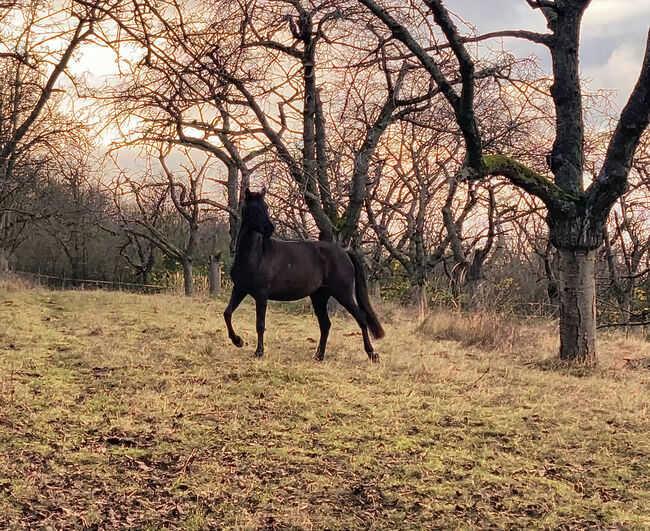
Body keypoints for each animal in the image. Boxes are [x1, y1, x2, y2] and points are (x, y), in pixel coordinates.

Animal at [224, 187, 384, 362]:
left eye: (265, 207)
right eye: (253, 208)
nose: (269, 229)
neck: (254, 254)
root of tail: (345, 253)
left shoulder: (261, 294)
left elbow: (260, 324)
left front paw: (258, 352)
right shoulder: (240, 289)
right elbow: (227, 313)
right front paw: (237, 341)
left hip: (343, 294)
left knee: (361, 319)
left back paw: (372, 354)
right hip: (319, 296)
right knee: (325, 324)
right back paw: (319, 356)